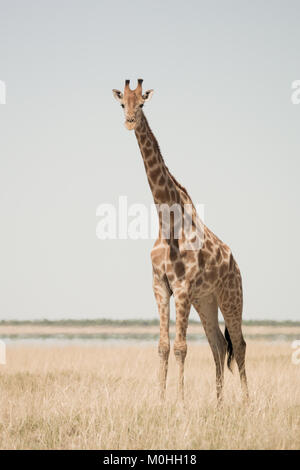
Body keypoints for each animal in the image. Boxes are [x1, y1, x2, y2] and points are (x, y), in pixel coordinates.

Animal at [112, 79, 248, 402]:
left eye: (142, 104)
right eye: (122, 103)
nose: (129, 121)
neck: (167, 222)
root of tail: (236, 265)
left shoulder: (183, 287)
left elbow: (181, 347)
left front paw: (181, 402)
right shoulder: (161, 285)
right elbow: (163, 346)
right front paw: (161, 400)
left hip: (231, 297)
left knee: (239, 345)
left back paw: (247, 402)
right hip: (206, 301)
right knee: (218, 345)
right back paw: (219, 404)